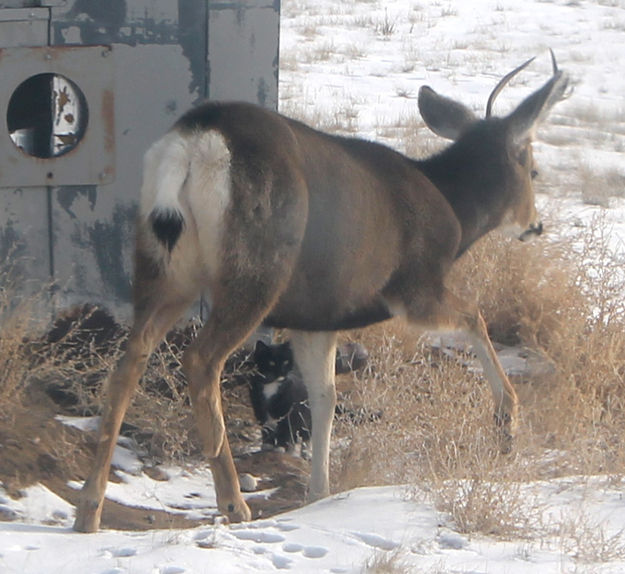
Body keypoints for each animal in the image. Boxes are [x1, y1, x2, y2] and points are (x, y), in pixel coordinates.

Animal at [73, 55, 564, 536]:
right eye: (533, 169)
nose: (536, 225)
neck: (456, 214)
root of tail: (195, 141)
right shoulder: (413, 287)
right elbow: (474, 316)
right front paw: (507, 422)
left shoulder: (317, 316)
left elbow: (323, 396)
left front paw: (319, 492)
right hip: (256, 268)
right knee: (200, 359)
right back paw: (232, 503)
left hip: (163, 266)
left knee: (129, 360)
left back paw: (90, 509)